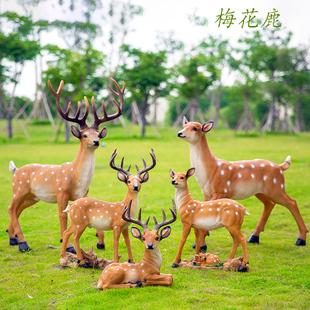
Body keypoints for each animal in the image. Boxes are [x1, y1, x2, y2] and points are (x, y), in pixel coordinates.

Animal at [6, 77, 124, 252]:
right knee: (11, 208)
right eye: (84, 135)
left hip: (32, 197)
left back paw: (13, 239)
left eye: (98, 135)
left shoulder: (84, 194)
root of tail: (15, 170)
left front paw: (100, 242)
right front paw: (68, 246)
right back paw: (23, 243)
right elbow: (62, 215)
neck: (76, 178)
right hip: (19, 189)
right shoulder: (61, 191)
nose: (96, 142)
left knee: (17, 210)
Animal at [177, 117, 308, 246]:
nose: (180, 133)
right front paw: (200, 243)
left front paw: (201, 244)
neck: (211, 170)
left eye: (195, 128)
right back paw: (254, 237)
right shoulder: (206, 193)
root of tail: (281, 167)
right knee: (269, 204)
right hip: (260, 191)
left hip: (276, 187)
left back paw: (301, 239)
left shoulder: (222, 190)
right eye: (184, 125)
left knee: (292, 202)